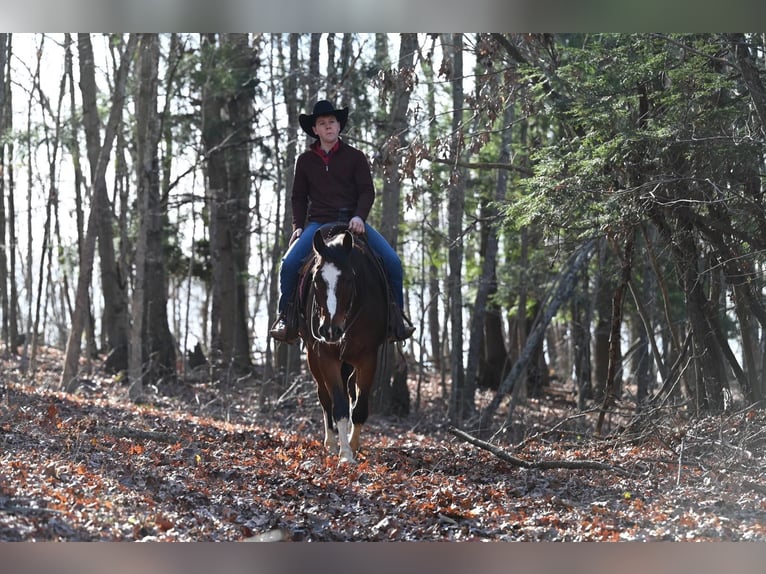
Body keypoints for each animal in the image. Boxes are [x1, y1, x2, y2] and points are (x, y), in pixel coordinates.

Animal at [298, 223, 390, 466]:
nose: (330, 330)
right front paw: (345, 454)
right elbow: (338, 405)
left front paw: (353, 445)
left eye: (349, 279)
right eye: (317, 279)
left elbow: (359, 406)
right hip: (313, 357)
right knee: (324, 397)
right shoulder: (325, 356)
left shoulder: (368, 357)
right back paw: (331, 443)